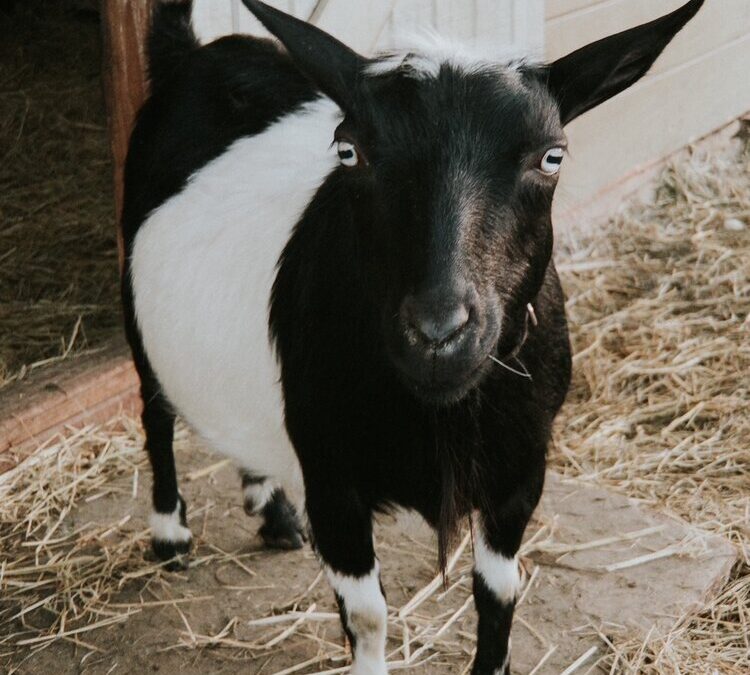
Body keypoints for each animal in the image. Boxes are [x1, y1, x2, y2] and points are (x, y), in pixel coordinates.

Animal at [122, 2, 704, 672]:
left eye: (552, 157)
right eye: (349, 151)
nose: (438, 332)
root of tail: (196, 52)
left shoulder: (520, 470)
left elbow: (500, 593)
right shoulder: (332, 478)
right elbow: (368, 613)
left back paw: (271, 512)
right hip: (135, 309)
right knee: (154, 410)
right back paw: (170, 533)